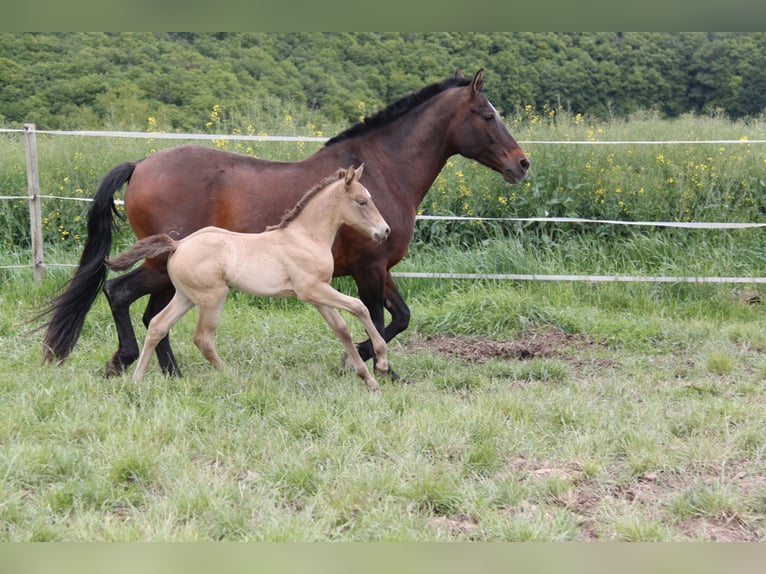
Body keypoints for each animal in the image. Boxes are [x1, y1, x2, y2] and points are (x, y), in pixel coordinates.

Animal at [105, 165, 391, 390]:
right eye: (362, 201)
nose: (385, 231)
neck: (306, 237)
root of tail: (178, 244)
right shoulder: (312, 290)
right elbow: (360, 307)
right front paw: (382, 362)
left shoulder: (318, 294)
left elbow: (341, 329)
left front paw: (369, 380)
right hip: (213, 297)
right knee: (203, 338)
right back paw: (232, 377)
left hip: (185, 296)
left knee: (157, 325)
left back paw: (137, 380)